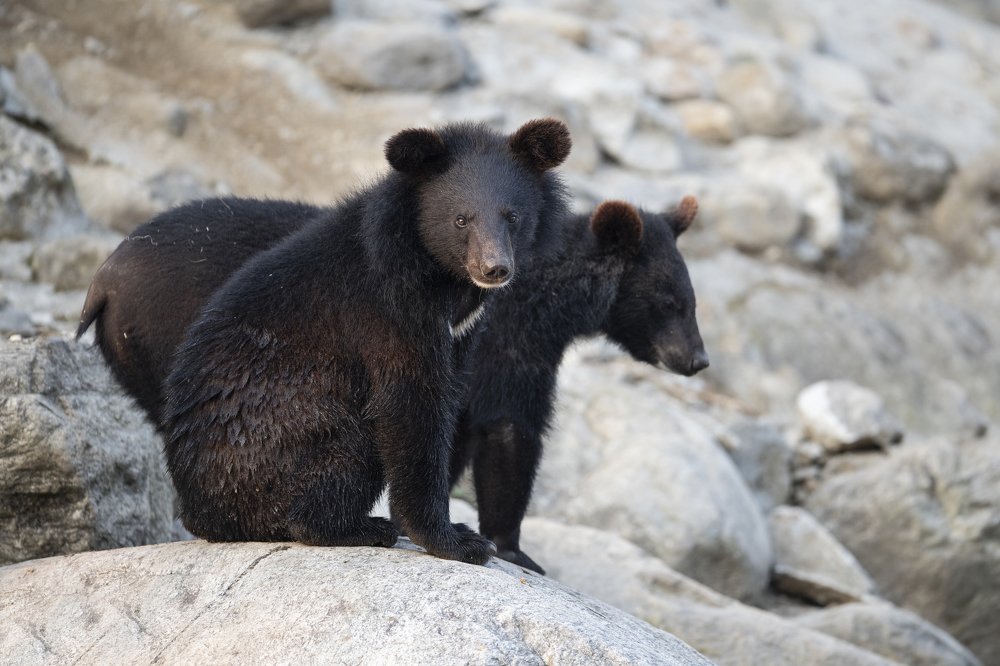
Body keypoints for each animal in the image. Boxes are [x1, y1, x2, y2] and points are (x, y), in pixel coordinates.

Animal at [157, 118, 572, 565]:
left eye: (513, 217)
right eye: (461, 219)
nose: (495, 269)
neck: (438, 275)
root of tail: (198, 514)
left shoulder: (461, 331)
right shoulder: (390, 316)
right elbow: (411, 408)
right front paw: (458, 540)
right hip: (272, 450)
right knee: (345, 454)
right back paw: (359, 528)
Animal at [449, 197, 708, 573]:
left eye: (693, 302)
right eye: (669, 302)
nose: (698, 359)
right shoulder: (507, 340)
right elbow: (509, 426)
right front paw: (511, 547)